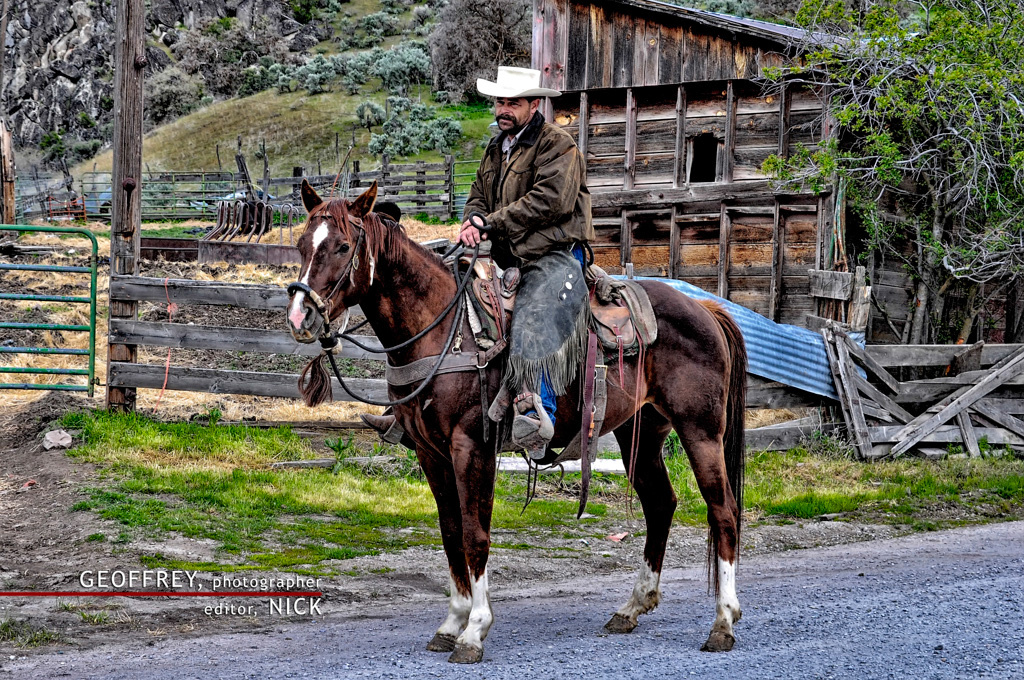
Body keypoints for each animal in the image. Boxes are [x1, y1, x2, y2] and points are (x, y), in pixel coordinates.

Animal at [284, 180, 749, 663]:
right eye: (302, 244)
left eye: (342, 246)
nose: (300, 316)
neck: (445, 330)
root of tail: (705, 308)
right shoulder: (431, 453)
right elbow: (451, 533)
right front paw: (452, 622)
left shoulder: (472, 447)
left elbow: (475, 535)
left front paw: (474, 630)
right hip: (640, 432)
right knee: (660, 503)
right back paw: (632, 607)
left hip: (701, 430)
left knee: (723, 510)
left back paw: (723, 621)